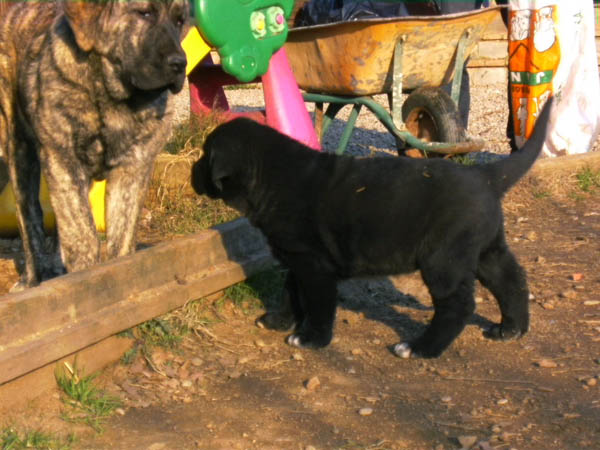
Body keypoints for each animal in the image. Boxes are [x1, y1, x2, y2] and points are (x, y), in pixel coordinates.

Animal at [0, 0, 189, 288]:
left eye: (180, 21)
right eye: (144, 13)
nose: (180, 63)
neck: (113, 98)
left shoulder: (133, 169)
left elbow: (121, 238)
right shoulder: (63, 162)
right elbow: (82, 234)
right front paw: (84, 280)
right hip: (18, 149)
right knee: (29, 218)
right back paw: (34, 277)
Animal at [193, 102, 552, 358]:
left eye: (204, 156)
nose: (191, 171)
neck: (272, 177)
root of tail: (484, 176)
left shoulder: (314, 266)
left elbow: (318, 304)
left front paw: (311, 339)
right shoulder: (298, 259)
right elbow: (290, 292)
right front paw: (278, 321)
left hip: (444, 259)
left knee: (458, 305)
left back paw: (420, 348)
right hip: (487, 248)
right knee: (511, 280)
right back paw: (511, 329)